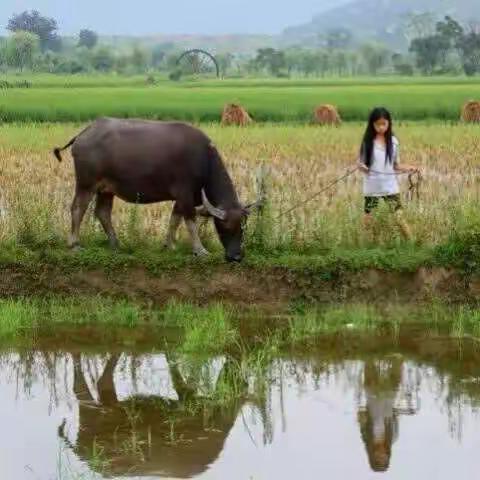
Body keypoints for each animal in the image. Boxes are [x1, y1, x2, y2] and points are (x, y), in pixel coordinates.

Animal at [54, 119, 260, 262]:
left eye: (243, 227)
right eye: (224, 226)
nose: (236, 257)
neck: (204, 161)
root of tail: (84, 133)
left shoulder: (182, 199)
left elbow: (174, 220)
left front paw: (169, 245)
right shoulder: (185, 195)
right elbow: (190, 222)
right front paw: (200, 250)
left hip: (106, 190)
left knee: (102, 212)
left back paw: (115, 243)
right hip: (86, 184)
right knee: (78, 209)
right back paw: (74, 244)